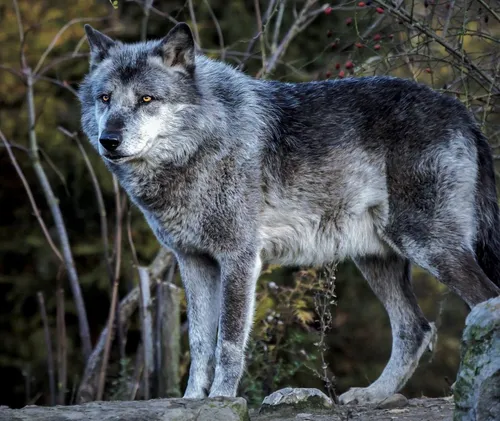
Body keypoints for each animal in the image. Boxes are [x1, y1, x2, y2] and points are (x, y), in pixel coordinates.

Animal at [79, 21, 500, 402]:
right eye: (105, 98)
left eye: (147, 99)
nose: (109, 140)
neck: (203, 140)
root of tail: (461, 112)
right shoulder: (194, 261)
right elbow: (199, 342)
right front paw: (192, 401)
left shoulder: (240, 258)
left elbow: (228, 342)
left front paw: (221, 400)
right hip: (377, 258)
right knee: (415, 329)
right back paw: (373, 395)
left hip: (427, 245)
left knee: (482, 302)